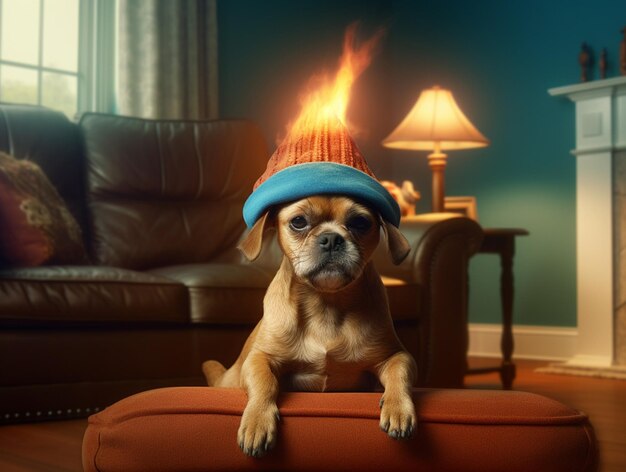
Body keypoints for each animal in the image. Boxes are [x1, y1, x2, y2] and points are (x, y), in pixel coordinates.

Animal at [204, 195, 414, 458]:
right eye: (298, 222)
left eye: (360, 222)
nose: (332, 238)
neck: (325, 304)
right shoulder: (259, 359)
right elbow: (265, 383)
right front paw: (257, 421)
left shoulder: (396, 356)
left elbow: (399, 376)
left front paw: (398, 409)